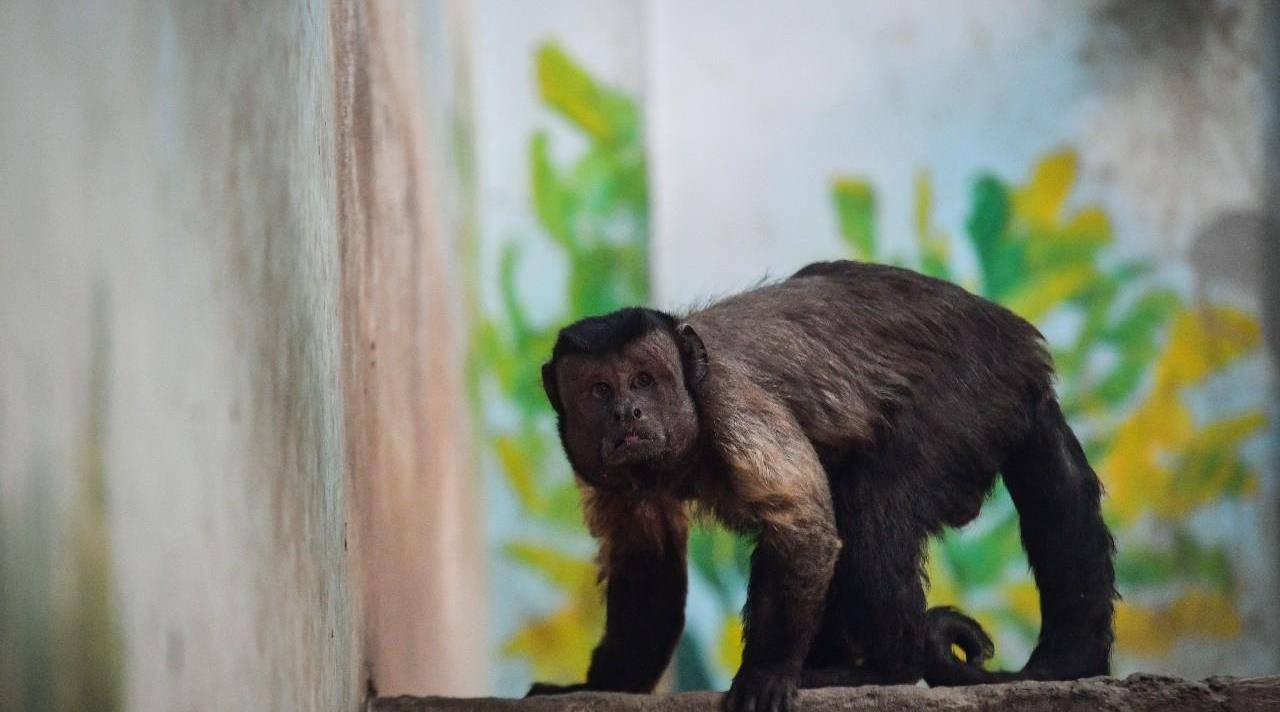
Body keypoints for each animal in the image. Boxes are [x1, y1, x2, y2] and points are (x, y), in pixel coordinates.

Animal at [524, 261, 1116, 712]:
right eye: (600, 390)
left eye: (644, 381)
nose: (627, 412)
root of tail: (1023, 350)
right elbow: (647, 566)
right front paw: (603, 686)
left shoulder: (729, 403)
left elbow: (803, 523)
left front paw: (769, 673)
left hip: (972, 395)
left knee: (871, 508)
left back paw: (886, 670)